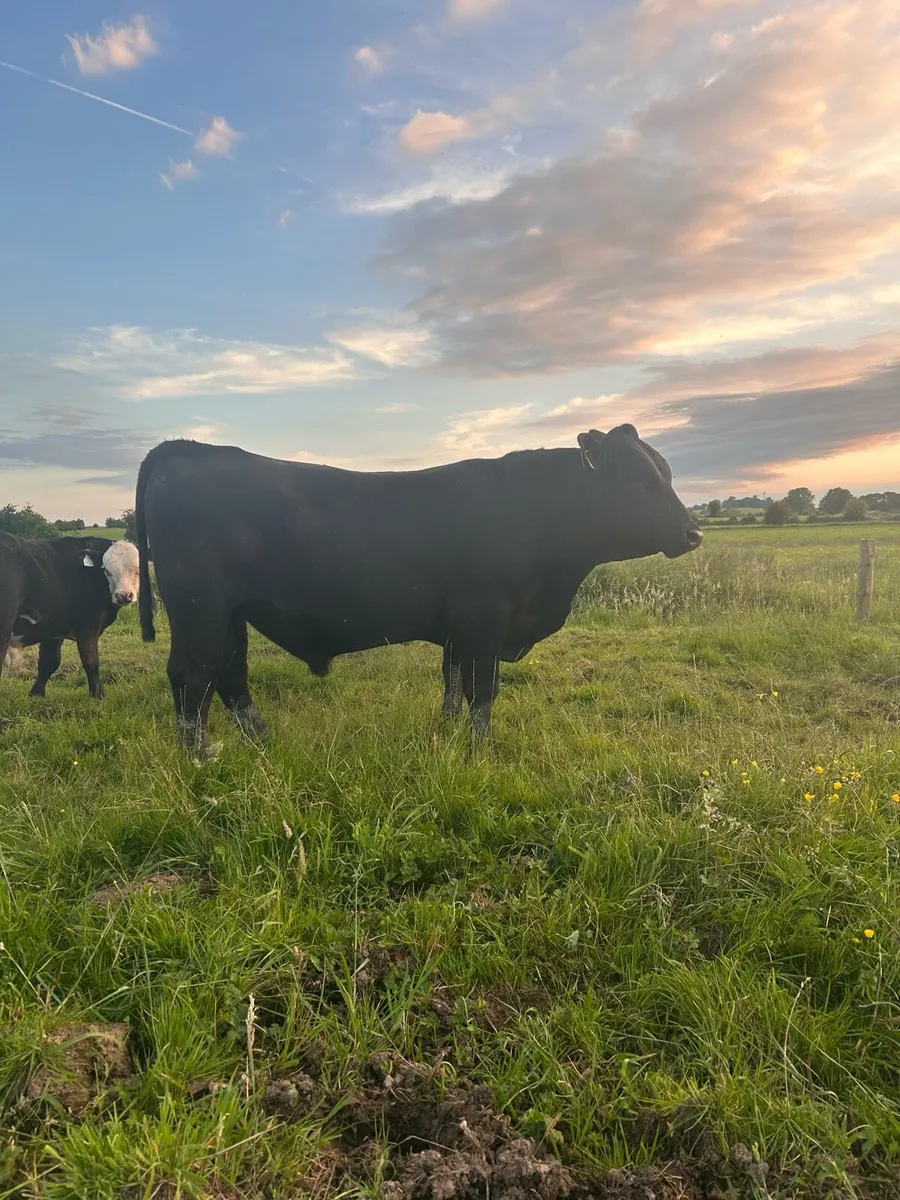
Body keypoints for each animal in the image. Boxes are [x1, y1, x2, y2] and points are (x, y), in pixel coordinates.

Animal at [0, 534, 140, 698]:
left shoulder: (53, 628)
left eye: (138, 570)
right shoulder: (88, 625)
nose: (124, 596)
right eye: (107, 570)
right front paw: (98, 694)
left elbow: (49, 662)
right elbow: (90, 660)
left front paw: (36, 694)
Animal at [135, 426, 702, 752]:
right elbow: (481, 690)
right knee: (192, 676)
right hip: (199, 608)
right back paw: (201, 759)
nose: (693, 532)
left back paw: (261, 741)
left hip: (230, 613)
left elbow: (451, 684)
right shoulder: (483, 618)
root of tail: (187, 449)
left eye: (669, 474)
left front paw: (449, 734)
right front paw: (480, 750)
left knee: (230, 673)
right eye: (637, 480)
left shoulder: (460, 630)